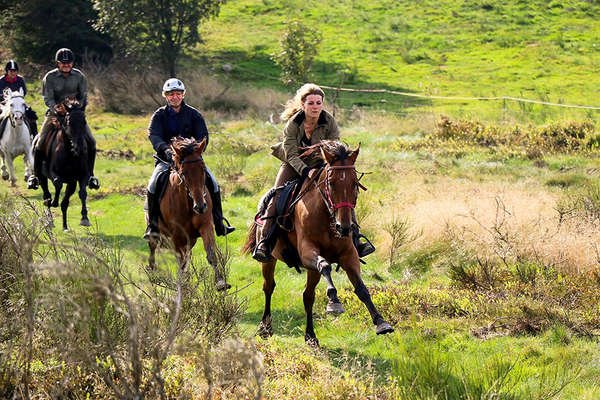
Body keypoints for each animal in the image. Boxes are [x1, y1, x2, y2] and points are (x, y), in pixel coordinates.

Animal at [34, 101, 91, 230]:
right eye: (69, 122)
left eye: (84, 121)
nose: (80, 149)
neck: (70, 154)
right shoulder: (53, 173)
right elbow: (58, 184)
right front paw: (54, 202)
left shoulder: (80, 176)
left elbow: (82, 193)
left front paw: (85, 218)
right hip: (41, 176)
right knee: (47, 195)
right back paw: (50, 221)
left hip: (71, 182)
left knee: (65, 203)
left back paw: (65, 226)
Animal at [148, 137, 232, 290]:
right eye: (183, 172)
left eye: (203, 169)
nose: (200, 207)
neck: (188, 203)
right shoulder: (176, 235)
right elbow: (180, 262)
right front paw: (182, 288)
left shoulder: (206, 226)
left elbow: (211, 253)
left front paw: (220, 283)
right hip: (156, 232)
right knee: (152, 246)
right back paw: (153, 274)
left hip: (191, 239)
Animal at [244, 141, 394, 346]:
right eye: (331, 183)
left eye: (355, 183)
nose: (344, 227)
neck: (326, 217)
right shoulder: (308, 252)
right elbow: (325, 266)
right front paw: (333, 300)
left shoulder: (349, 255)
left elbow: (361, 288)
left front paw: (381, 322)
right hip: (270, 260)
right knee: (269, 287)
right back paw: (265, 327)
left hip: (310, 270)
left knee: (308, 296)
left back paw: (311, 336)